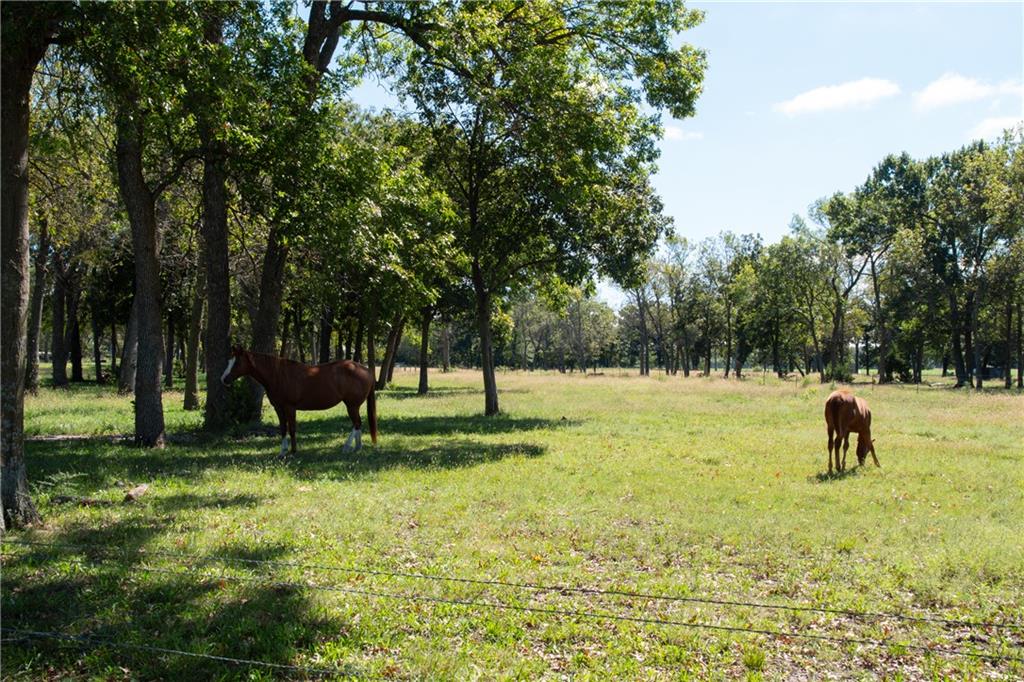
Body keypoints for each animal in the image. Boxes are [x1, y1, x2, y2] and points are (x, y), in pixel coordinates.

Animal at [221, 347, 377, 457]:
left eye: (237, 362)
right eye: (229, 361)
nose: (224, 379)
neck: (278, 375)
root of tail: (366, 370)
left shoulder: (290, 407)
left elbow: (292, 428)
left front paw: (293, 451)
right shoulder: (279, 408)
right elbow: (283, 428)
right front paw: (282, 452)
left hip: (352, 405)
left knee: (356, 423)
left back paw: (347, 447)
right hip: (353, 406)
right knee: (358, 424)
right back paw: (357, 448)